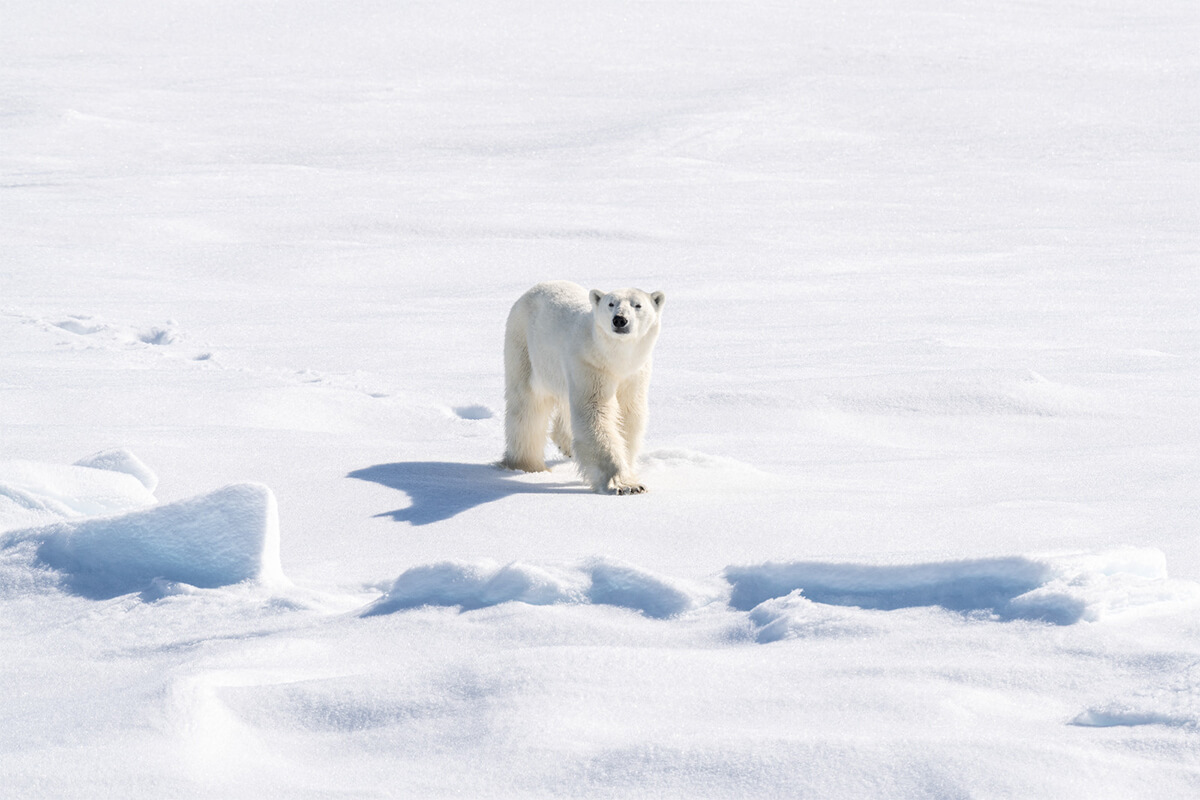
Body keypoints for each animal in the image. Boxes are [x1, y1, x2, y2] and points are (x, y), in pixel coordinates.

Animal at [499, 281, 667, 494]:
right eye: (611, 303)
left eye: (637, 305)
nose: (620, 320)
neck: (614, 359)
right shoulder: (590, 364)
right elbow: (595, 412)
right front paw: (625, 485)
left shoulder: (634, 374)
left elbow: (628, 416)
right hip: (524, 346)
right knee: (527, 406)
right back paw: (527, 465)